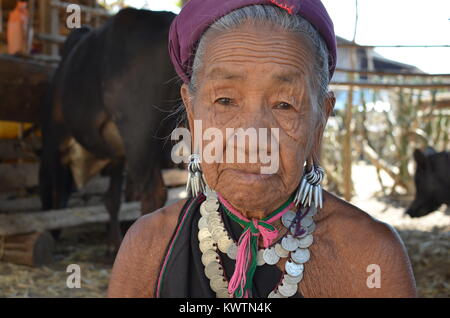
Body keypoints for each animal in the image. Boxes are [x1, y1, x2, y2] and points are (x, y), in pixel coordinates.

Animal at [38, 8, 179, 251]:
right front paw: (113, 241)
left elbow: (57, 190)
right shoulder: (117, 153)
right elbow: (112, 199)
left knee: (152, 195)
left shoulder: (53, 140)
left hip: (137, 137)